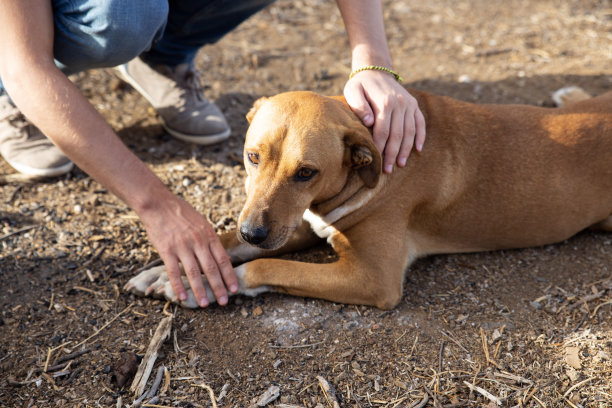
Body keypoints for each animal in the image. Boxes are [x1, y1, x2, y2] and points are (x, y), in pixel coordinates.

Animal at [125, 87, 612, 308]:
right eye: (252, 156)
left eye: (306, 172)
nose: (254, 231)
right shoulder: (299, 223)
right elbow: (225, 242)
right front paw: (172, 271)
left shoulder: (372, 279)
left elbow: (268, 265)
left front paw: (204, 285)